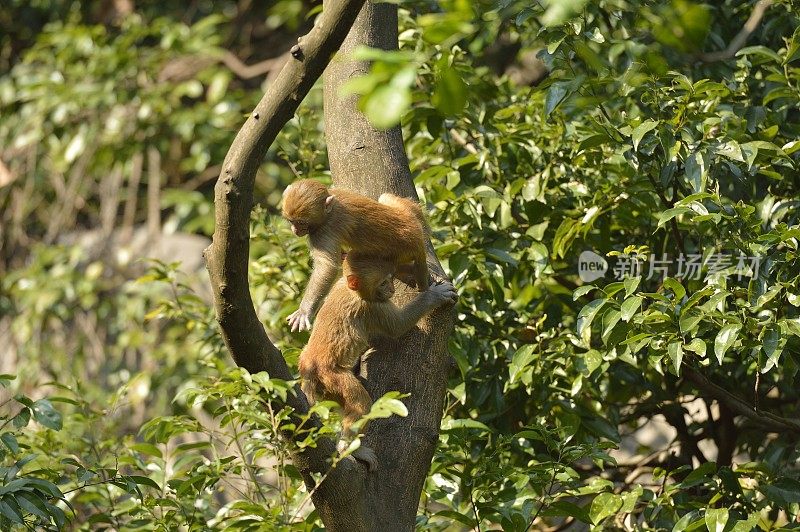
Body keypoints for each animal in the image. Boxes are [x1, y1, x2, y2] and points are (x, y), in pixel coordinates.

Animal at [282, 179, 432, 332]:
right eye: (291, 221)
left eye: (301, 222)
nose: (295, 230)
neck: (329, 209)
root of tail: (417, 234)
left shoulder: (323, 231)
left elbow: (326, 267)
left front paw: (304, 311)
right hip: (404, 210)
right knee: (386, 198)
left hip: (401, 251)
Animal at [298, 251, 456, 472]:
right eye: (383, 283)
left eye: (389, 278)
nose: (391, 289)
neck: (352, 290)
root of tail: (308, 366)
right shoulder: (373, 306)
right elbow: (398, 327)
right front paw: (434, 296)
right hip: (333, 376)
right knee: (361, 404)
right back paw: (349, 448)